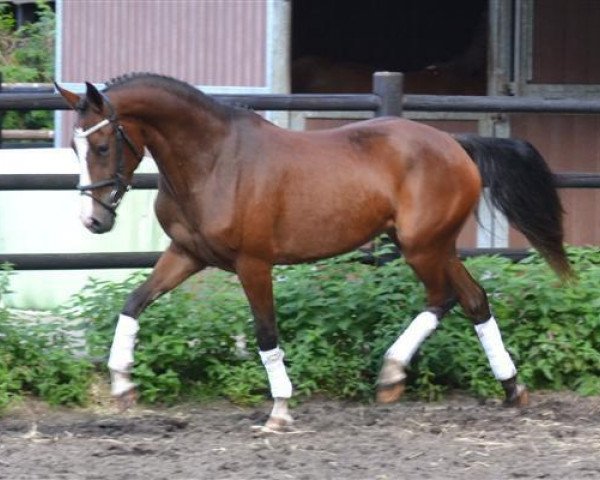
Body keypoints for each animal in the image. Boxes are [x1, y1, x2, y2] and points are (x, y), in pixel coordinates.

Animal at [57, 73, 572, 434]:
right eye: (75, 148)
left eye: (101, 145)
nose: (94, 221)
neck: (213, 161)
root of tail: (455, 144)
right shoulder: (187, 253)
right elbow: (133, 303)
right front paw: (123, 384)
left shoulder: (253, 264)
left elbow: (266, 334)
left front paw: (280, 411)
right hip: (433, 245)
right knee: (473, 299)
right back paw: (508, 388)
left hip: (422, 246)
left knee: (443, 298)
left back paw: (392, 374)